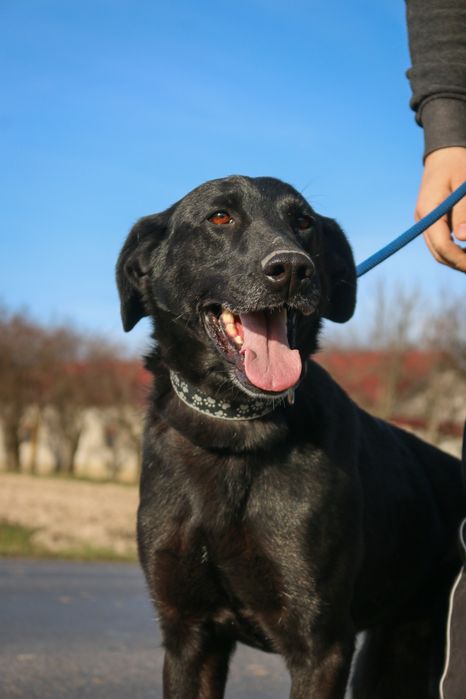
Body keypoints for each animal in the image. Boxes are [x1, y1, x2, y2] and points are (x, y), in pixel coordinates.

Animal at [117, 176, 466, 699]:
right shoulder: (188, 636)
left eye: (303, 222)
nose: (292, 269)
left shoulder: (320, 645)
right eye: (220, 217)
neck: (235, 433)